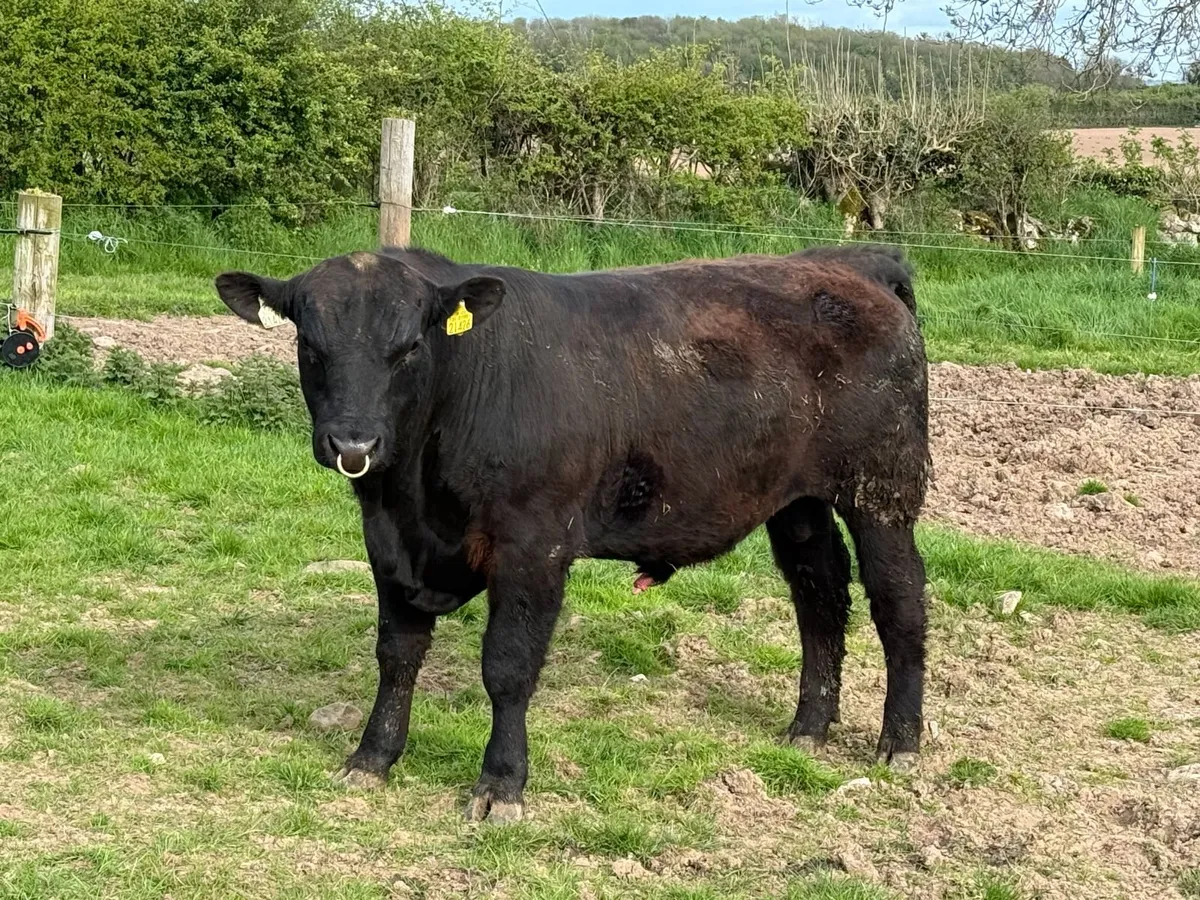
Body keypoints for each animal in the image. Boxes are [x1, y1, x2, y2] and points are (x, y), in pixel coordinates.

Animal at [215, 244, 931, 824]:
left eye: (410, 347)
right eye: (311, 347)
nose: (354, 444)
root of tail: (852, 262)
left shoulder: (533, 547)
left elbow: (507, 668)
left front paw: (500, 786)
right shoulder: (389, 547)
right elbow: (396, 655)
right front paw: (372, 757)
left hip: (883, 490)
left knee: (898, 602)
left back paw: (901, 741)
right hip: (798, 503)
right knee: (820, 596)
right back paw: (808, 726)